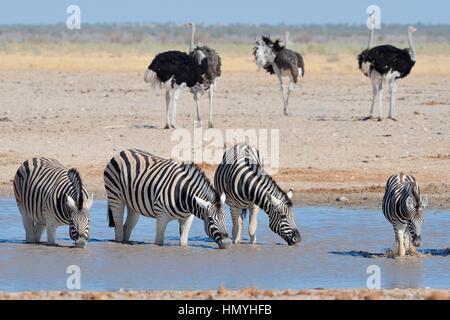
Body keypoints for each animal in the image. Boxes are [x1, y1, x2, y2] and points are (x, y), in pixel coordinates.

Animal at [102, 149, 232, 249]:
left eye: (226, 218)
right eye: (210, 219)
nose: (227, 243)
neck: (185, 198)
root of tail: (122, 152)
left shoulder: (188, 218)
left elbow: (183, 243)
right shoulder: (161, 217)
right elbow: (159, 243)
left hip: (133, 204)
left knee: (127, 227)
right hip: (115, 197)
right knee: (118, 228)